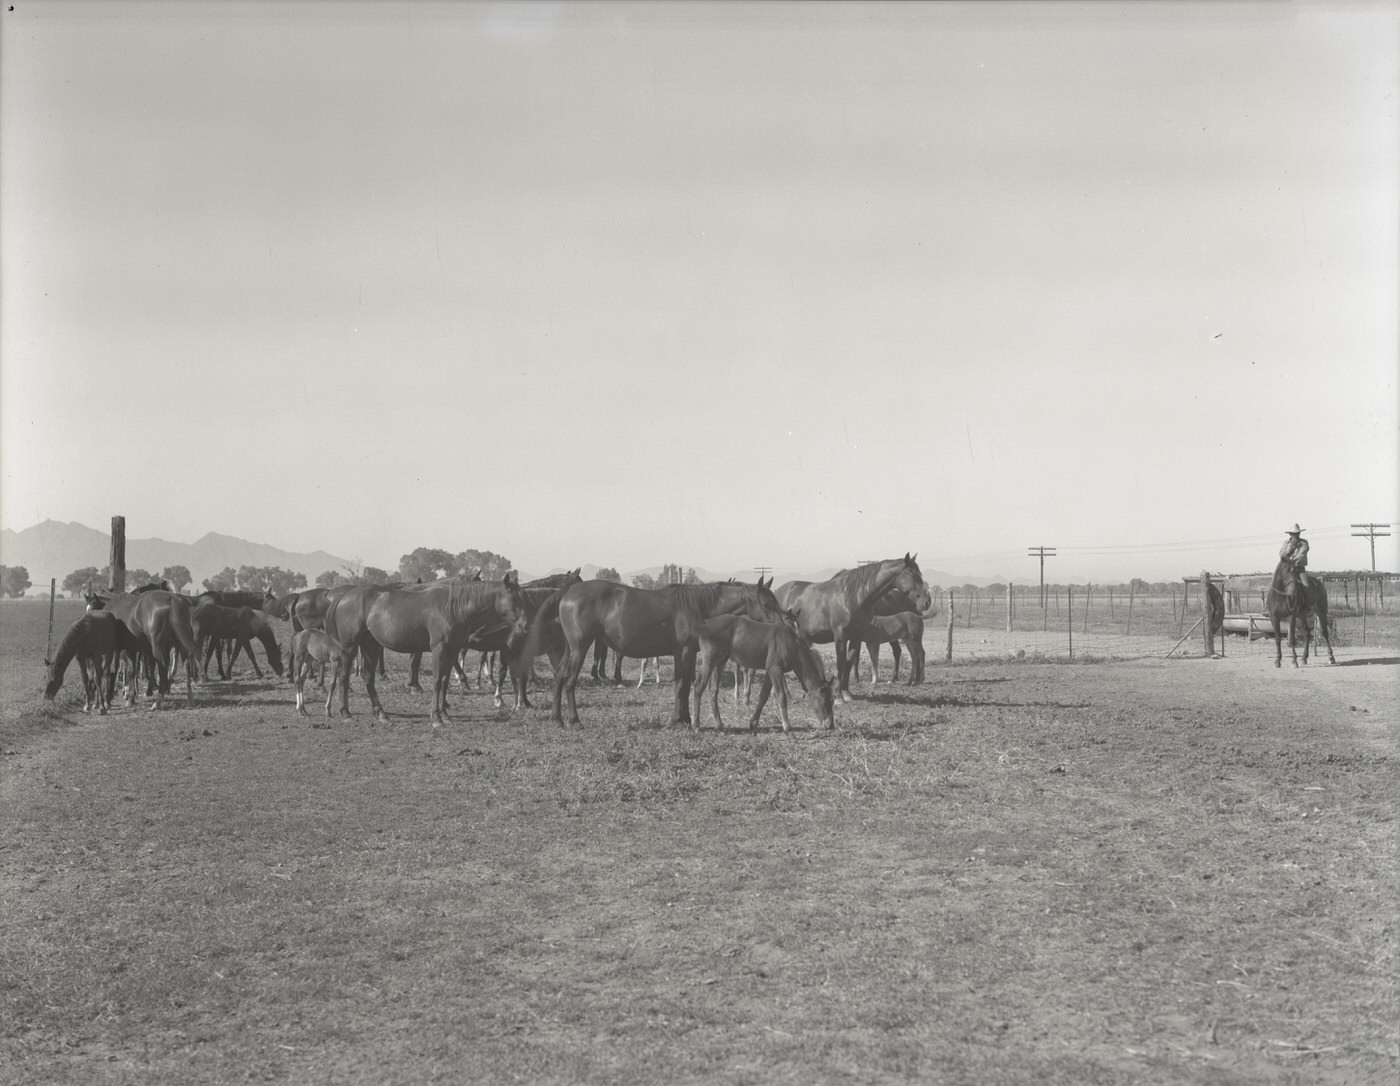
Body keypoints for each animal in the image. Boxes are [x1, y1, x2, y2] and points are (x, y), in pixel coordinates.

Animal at [324, 573, 531, 725]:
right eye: (513, 598)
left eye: (524, 598)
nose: (525, 627)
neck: (452, 606)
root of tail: (344, 596)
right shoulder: (439, 649)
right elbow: (437, 681)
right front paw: (436, 717)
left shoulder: (452, 649)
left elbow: (446, 680)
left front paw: (444, 714)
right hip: (350, 647)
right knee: (343, 676)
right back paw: (345, 712)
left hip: (370, 645)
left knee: (368, 677)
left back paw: (380, 713)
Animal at [529, 577, 785, 727]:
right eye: (766, 603)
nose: (784, 624)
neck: (698, 606)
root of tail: (568, 591)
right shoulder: (682, 651)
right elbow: (681, 684)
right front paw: (676, 721)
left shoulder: (691, 652)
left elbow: (687, 684)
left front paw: (685, 719)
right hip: (580, 648)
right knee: (570, 680)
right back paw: (574, 720)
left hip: (570, 649)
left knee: (559, 676)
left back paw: (557, 719)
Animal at [693, 614, 834, 734]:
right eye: (825, 701)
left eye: (833, 701)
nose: (830, 725)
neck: (792, 644)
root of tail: (705, 623)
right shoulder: (775, 669)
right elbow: (781, 695)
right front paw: (787, 727)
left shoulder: (769, 671)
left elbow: (763, 696)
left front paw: (753, 723)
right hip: (710, 661)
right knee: (699, 686)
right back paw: (696, 725)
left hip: (720, 661)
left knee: (713, 690)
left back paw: (719, 725)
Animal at [778, 555, 930, 701]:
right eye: (912, 574)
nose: (927, 601)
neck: (852, 596)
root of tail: (777, 591)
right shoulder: (840, 636)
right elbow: (840, 663)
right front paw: (838, 696)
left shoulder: (856, 636)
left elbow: (849, 662)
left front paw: (846, 692)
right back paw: (790, 695)